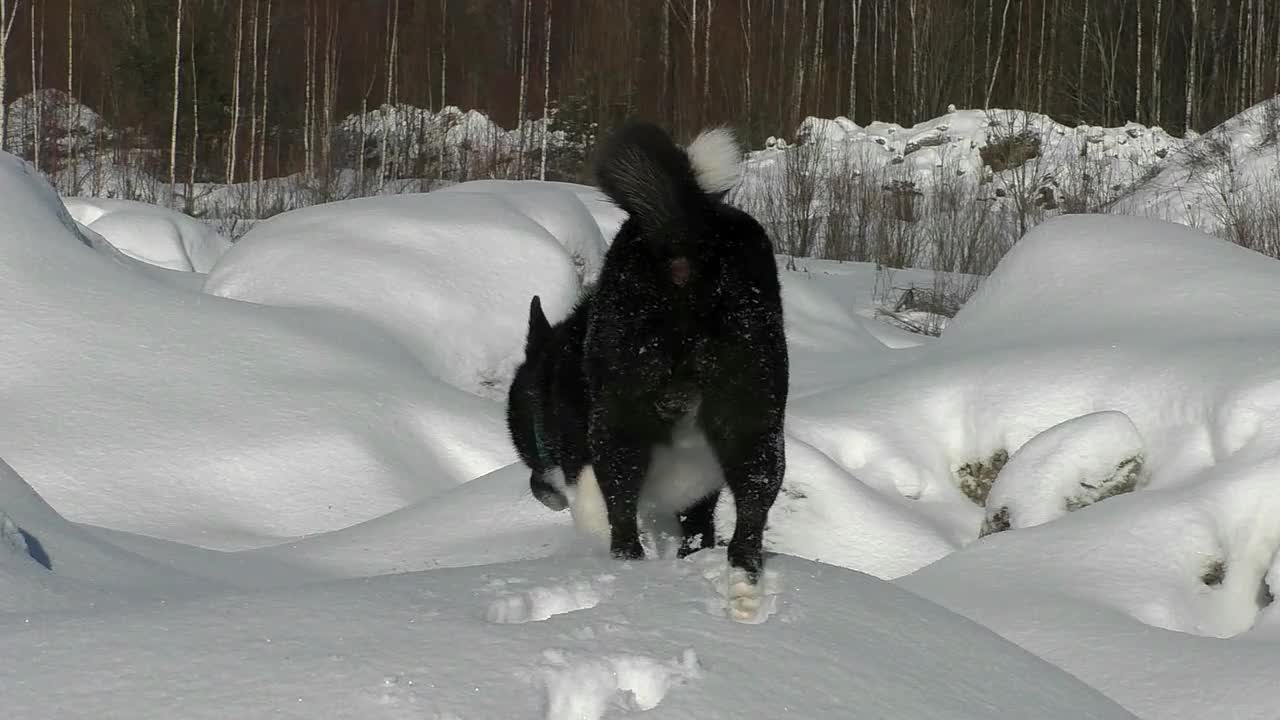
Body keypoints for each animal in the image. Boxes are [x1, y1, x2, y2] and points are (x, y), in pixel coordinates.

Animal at [501, 120, 783, 614]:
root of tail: (689, 231)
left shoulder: (586, 478)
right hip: (756, 424)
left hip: (618, 428)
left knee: (625, 536)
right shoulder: (700, 495)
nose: (541, 489)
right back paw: (744, 598)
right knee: (748, 531)